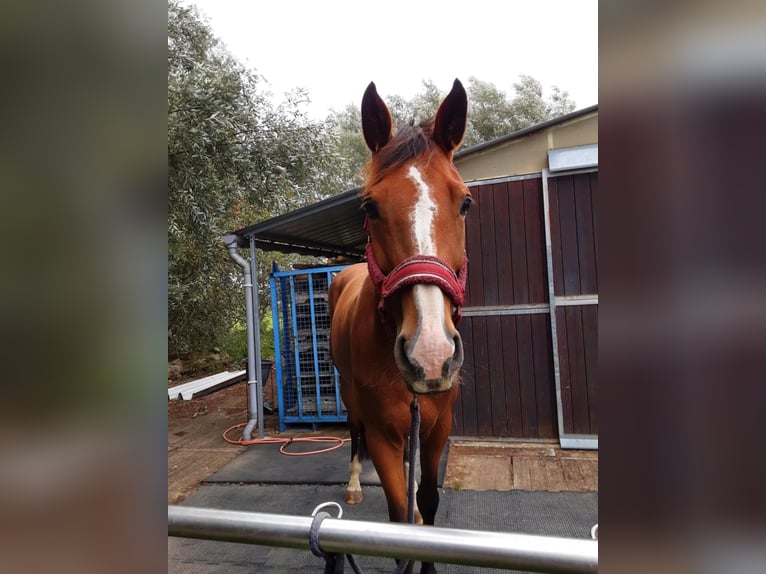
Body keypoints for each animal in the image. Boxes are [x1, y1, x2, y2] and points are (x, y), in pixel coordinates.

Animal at [329, 79, 470, 573]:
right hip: (349, 394)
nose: (430, 354)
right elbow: (398, 520)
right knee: (352, 432)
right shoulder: (383, 434)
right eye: (370, 207)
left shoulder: (440, 424)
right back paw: (354, 484)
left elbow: (426, 501)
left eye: (465, 203)